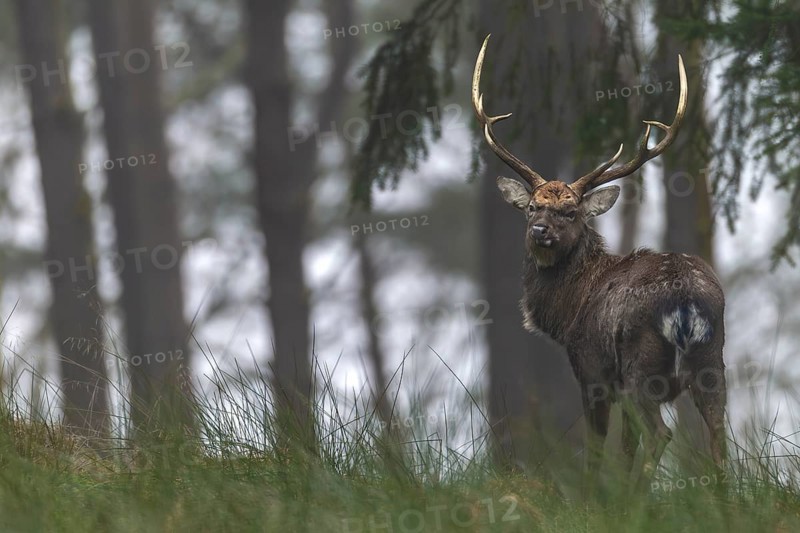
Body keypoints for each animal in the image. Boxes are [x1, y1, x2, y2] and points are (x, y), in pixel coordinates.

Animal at [472, 35, 727, 487]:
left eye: (571, 211)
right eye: (532, 207)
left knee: (660, 433)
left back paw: (640, 496)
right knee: (718, 434)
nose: (540, 231)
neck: (567, 310)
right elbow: (624, 449)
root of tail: (686, 304)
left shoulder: (591, 370)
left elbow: (596, 448)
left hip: (642, 367)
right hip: (713, 362)